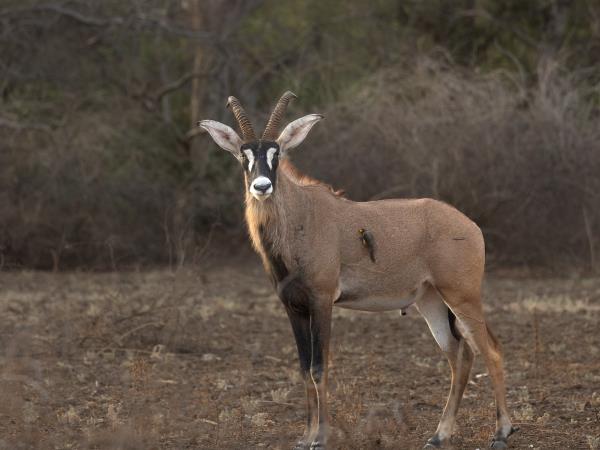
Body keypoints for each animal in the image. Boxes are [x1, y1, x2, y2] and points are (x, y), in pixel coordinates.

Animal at [199, 93, 516, 448]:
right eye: (244, 155)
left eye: (276, 153)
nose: (262, 186)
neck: (300, 217)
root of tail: (471, 226)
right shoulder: (293, 307)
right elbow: (303, 368)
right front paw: (305, 437)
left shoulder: (322, 301)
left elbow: (319, 367)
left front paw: (320, 437)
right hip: (432, 301)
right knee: (458, 355)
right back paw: (439, 435)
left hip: (462, 295)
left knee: (490, 349)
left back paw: (501, 433)